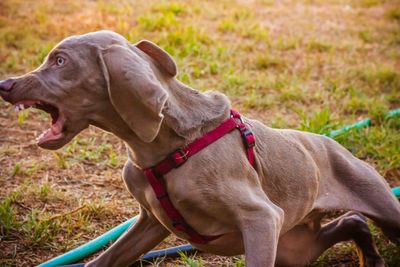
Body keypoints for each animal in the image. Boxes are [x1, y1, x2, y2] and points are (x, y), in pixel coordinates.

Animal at [0, 30, 398, 266]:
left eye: (60, 61)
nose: (5, 84)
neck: (164, 147)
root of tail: (334, 143)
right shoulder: (150, 222)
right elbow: (103, 259)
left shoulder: (262, 218)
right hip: (294, 245)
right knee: (351, 220)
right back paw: (371, 257)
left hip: (373, 210)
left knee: (362, 216)